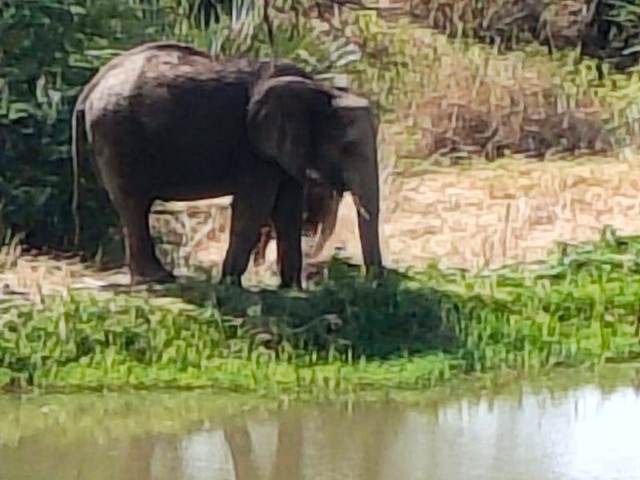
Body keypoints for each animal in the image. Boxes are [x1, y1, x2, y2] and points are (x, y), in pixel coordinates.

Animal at [71, 41, 383, 288]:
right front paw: (230, 284)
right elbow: (255, 205)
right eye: (347, 148)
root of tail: (92, 85)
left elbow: (288, 208)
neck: (322, 91)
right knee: (134, 203)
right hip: (117, 132)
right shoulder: (254, 150)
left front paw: (292, 289)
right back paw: (158, 279)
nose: (373, 285)